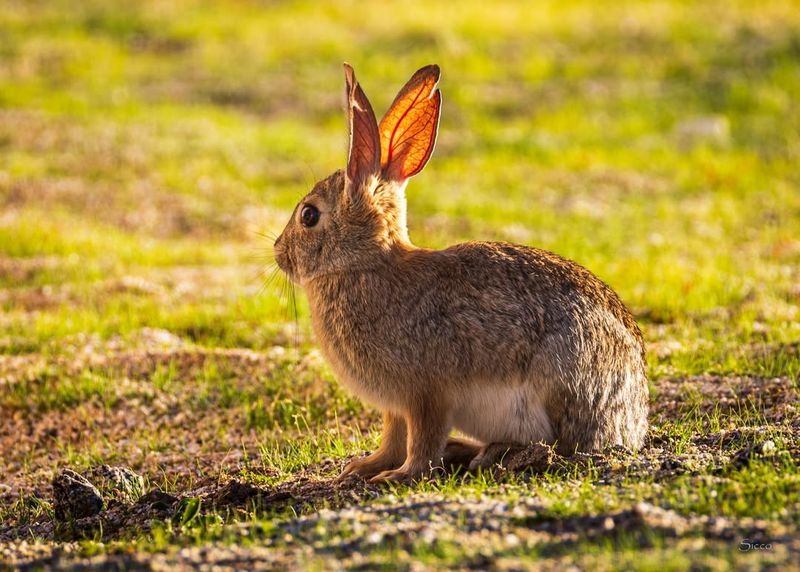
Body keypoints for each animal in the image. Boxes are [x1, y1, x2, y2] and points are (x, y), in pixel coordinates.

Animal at [273, 63, 649, 483]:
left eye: (309, 215)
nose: (278, 252)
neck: (362, 264)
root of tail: (633, 423)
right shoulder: (396, 406)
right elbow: (393, 439)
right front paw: (363, 467)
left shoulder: (427, 395)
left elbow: (421, 444)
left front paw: (398, 476)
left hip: (561, 378)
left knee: (556, 444)